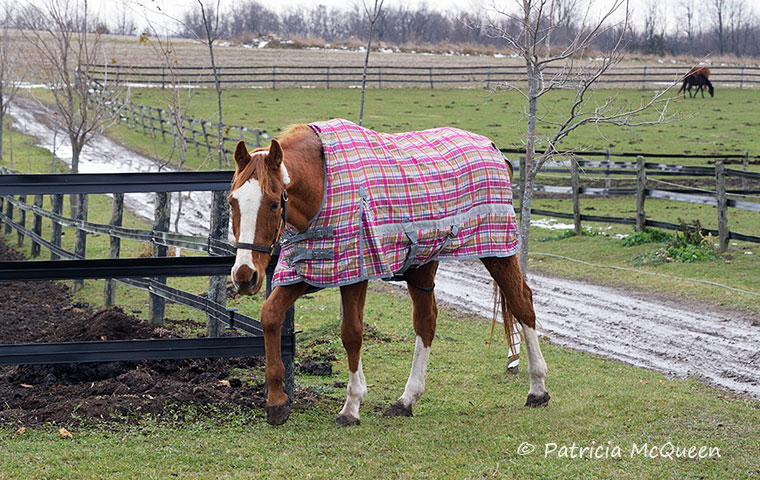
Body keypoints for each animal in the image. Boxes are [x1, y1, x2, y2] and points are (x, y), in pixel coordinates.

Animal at [229, 118, 548, 426]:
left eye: (273, 204)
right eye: (232, 201)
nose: (245, 275)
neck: (322, 183)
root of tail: (494, 150)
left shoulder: (355, 274)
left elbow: (351, 333)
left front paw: (351, 407)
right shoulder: (308, 271)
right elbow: (270, 316)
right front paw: (276, 402)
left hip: (498, 251)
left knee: (522, 303)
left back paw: (538, 389)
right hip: (423, 262)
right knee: (426, 321)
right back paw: (406, 400)